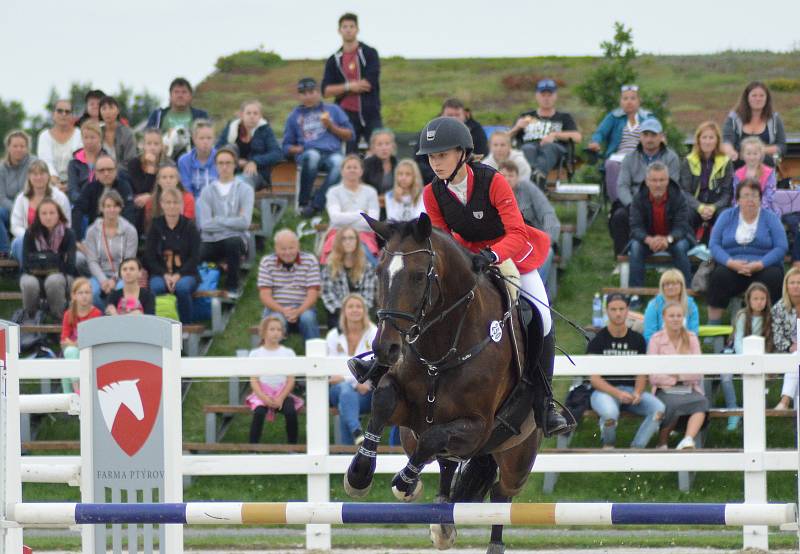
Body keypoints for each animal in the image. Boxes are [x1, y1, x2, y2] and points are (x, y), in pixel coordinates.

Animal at [344, 212, 544, 552]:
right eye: (380, 273)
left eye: (418, 276)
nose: (386, 348)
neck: (443, 347)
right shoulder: (407, 411)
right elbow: (383, 401)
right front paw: (359, 474)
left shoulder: (478, 428)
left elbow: (433, 437)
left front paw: (403, 482)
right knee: (446, 465)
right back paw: (441, 522)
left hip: (518, 455)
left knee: (501, 493)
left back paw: (490, 541)